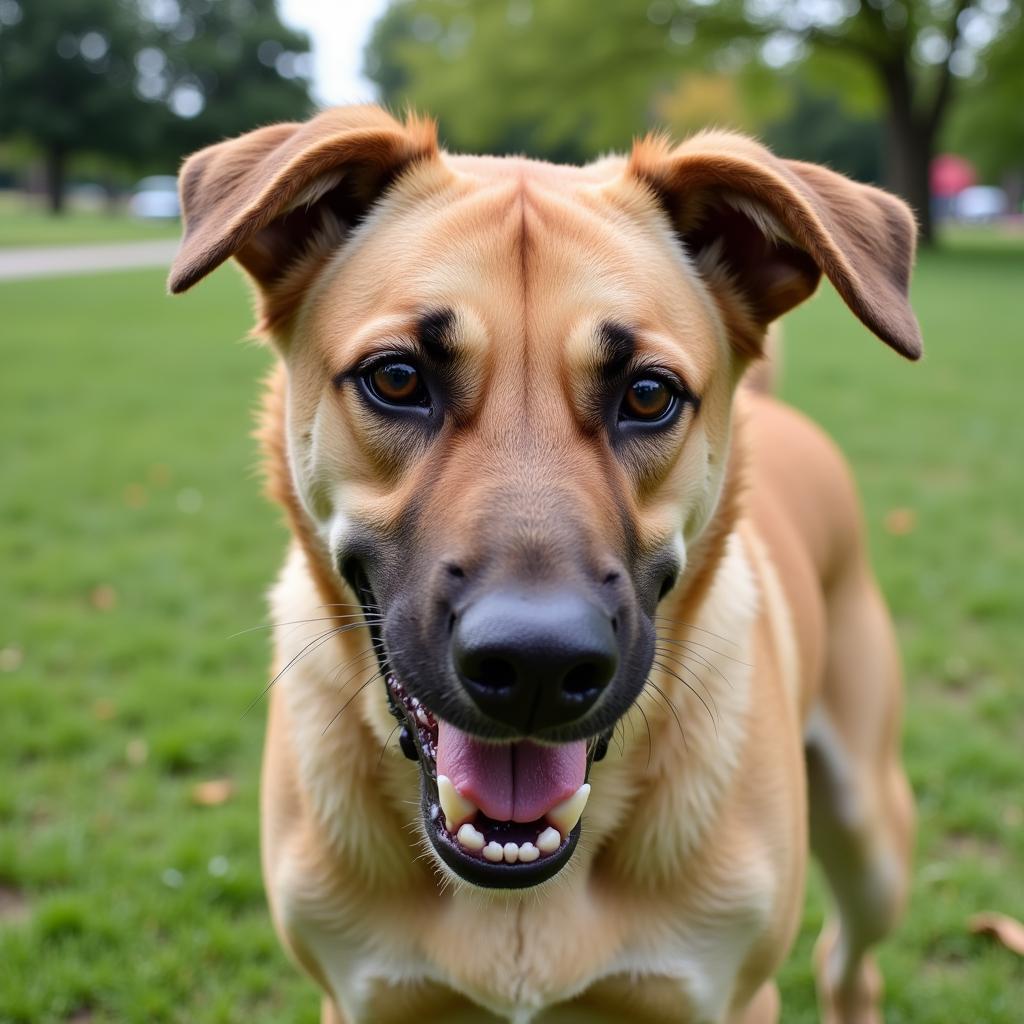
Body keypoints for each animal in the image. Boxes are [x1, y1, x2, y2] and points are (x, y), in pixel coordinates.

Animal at [167, 105, 921, 1024]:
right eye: (397, 378)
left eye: (648, 394)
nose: (535, 664)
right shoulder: (357, 998)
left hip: (872, 837)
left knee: (850, 961)